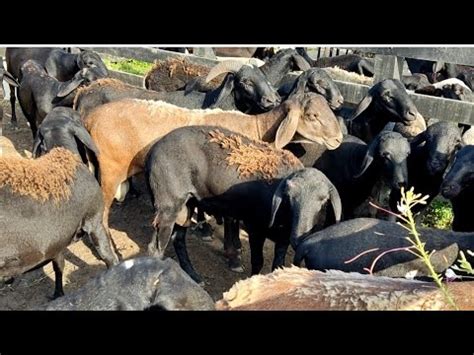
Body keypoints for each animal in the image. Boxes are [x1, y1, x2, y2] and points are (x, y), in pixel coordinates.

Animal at [84, 92, 344, 231]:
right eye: (312, 115)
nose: (339, 138)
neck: (256, 128)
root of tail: (90, 118)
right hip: (110, 170)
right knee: (103, 213)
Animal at [144, 126, 340, 282]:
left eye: (323, 201)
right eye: (290, 197)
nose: (299, 237)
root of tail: (152, 151)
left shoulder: (283, 238)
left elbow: (278, 265)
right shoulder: (255, 228)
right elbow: (258, 261)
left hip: (187, 205)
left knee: (178, 239)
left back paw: (193, 276)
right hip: (168, 205)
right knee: (156, 247)